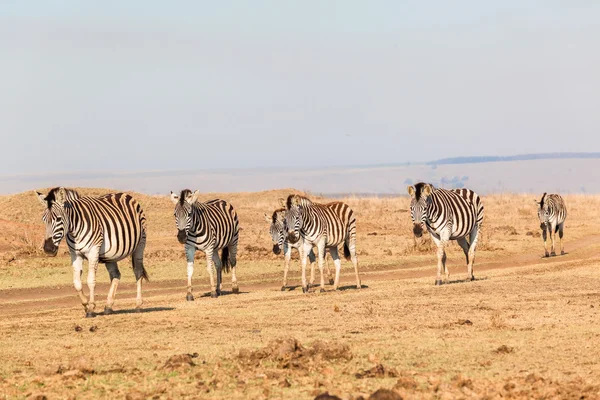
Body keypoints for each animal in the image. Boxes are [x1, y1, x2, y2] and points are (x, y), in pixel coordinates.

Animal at [35, 186, 149, 318]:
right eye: (43, 220)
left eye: (58, 219)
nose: (48, 249)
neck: (74, 230)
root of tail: (125, 195)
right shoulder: (75, 254)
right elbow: (77, 282)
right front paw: (85, 304)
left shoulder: (93, 251)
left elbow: (91, 280)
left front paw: (91, 308)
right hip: (110, 255)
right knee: (116, 275)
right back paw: (108, 306)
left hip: (140, 244)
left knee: (138, 272)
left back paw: (138, 305)